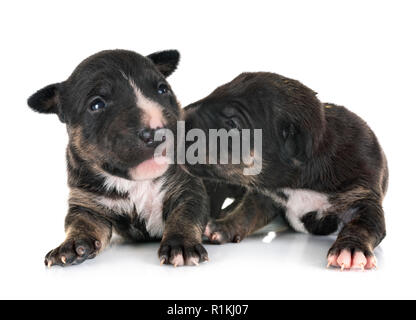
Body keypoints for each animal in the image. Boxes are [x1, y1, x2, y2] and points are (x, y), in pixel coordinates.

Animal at [28, 48, 211, 268]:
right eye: (96, 104)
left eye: (162, 90)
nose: (158, 132)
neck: (134, 182)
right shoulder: (86, 203)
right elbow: (80, 223)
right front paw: (69, 246)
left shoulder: (188, 187)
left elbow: (185, 214)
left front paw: (181, 245)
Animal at [184, 72, 388, 270]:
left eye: (233, 124)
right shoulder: (265, 196)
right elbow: (247, 212)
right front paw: (222, 227)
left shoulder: (361, 194)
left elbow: (362, 225)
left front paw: (351, 249)